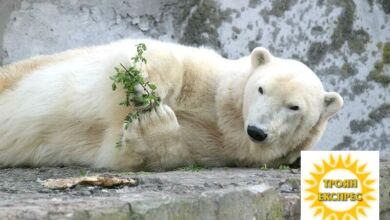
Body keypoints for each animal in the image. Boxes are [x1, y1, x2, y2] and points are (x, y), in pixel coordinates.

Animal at [0, 38, 342, 171]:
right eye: (261, 89)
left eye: (294, 107)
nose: (257, 131)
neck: (227, 119)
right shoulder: (213, 78)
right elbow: (171, 58)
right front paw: (142, 85)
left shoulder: (218, 150)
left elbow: (129, 151)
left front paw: (155, 123)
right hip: (18, 73)